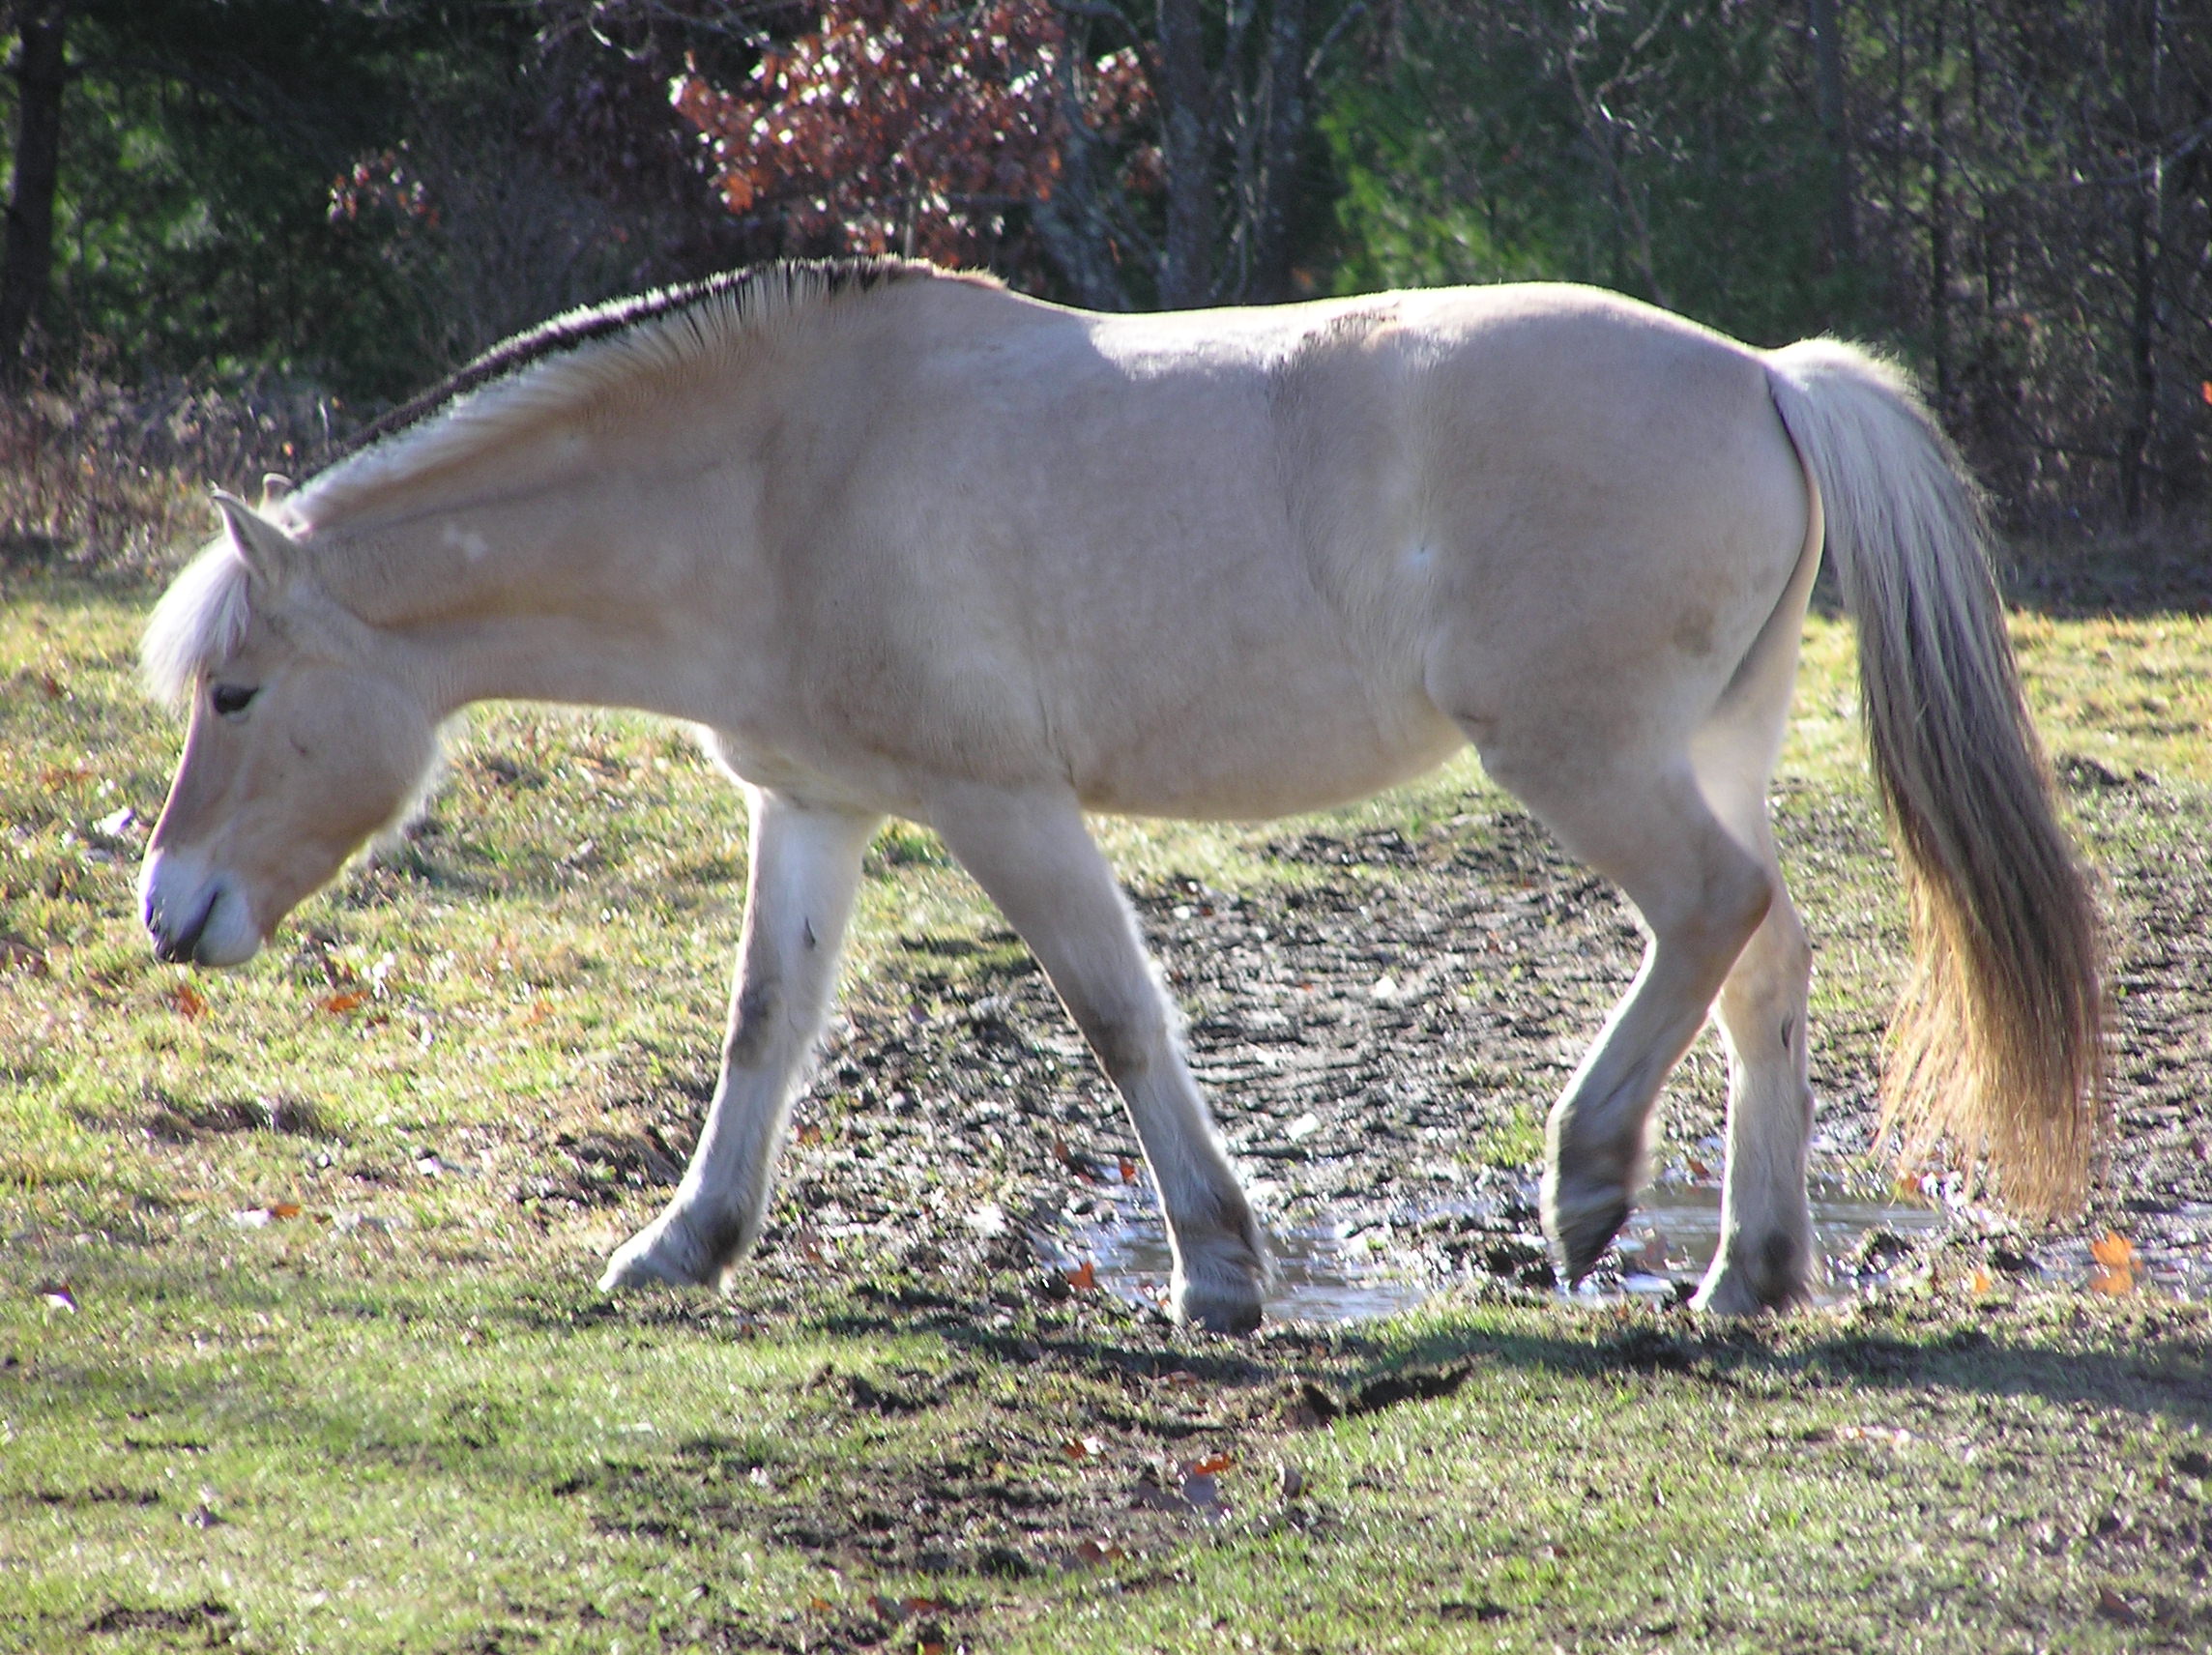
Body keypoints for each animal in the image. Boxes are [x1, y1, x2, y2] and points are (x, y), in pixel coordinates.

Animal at [138, 265, 2106, 1336]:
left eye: (239, 692)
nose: (170, 913)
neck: (782, 470)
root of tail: (1765, 375)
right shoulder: (816, 810)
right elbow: (766, 1025)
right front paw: (684, 1243)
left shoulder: (1001, 807)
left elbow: (1116, 1016)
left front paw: (1218, 1270)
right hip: (1706, 753)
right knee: (1766, 962)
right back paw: (1749, 1271)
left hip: (1589, 762)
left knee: (1712, 918)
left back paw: (1586, 1186)